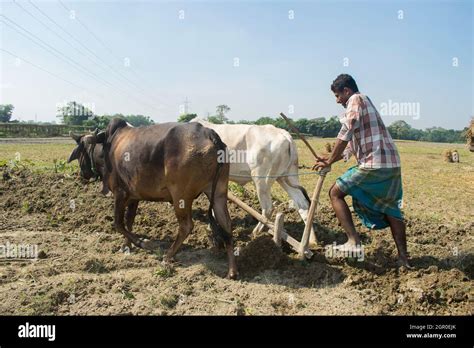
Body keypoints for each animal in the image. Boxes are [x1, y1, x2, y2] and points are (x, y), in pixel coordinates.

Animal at [84, 118, 239, 278]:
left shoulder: (120, 193)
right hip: (219, 193)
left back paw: (168, 256)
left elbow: (118, 224)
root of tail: (208, 133)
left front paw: (143, 243)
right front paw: (126, 246)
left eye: (84, 148)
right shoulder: (134, 197)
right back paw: (232, 270)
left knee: (186, 226)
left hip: (181, 196)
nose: (85, 173)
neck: (111, 143)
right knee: (226, 224)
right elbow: (129, 222)